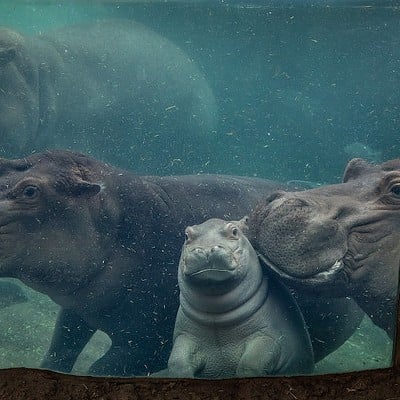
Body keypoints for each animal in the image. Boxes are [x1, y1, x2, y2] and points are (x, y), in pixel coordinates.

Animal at [158, 219, 314, 378]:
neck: (217, 316)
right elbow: (177, 361)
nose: (206, 249)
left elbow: (251, 363)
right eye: (186, 235)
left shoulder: (267, 335)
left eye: (234, 231)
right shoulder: (186, 335)